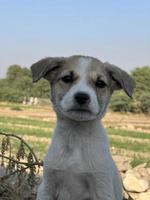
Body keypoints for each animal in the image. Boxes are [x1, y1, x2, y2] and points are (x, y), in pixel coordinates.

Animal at [30, 55, 135, 200]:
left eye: (100, 83)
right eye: (67, 78)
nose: (82, 97)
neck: (76, 136)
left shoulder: (102, 187)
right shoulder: (47, 187)